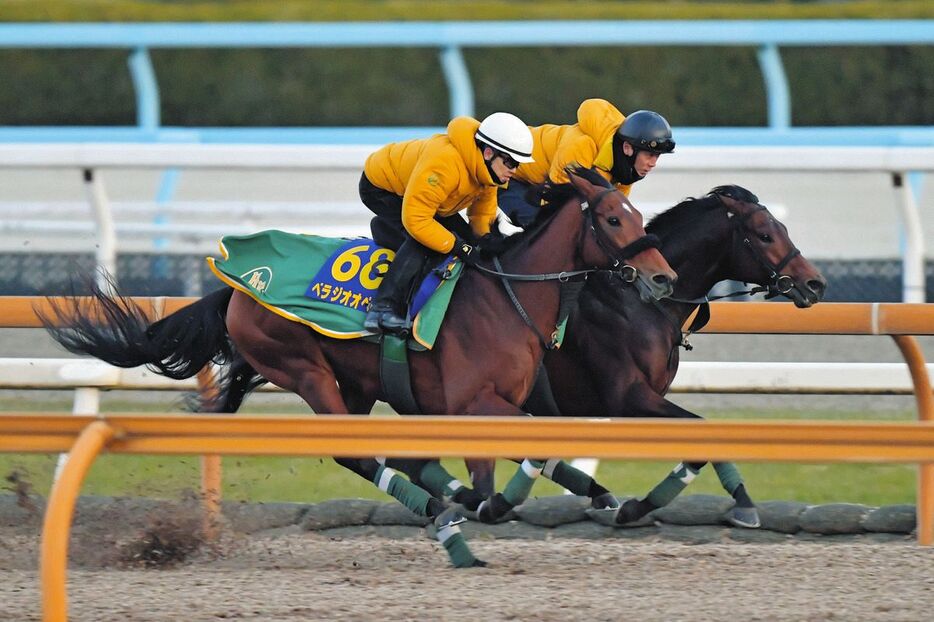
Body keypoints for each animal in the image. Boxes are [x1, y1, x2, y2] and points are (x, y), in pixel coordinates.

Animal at [44, 168, 676, 568]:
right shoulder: (473, 403)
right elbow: (511, 461)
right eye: (613, 219)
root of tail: (237, 285)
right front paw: (488, 503)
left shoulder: (495, 402)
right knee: (356, 454)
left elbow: (525, 453)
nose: (663, 277)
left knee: (389, 454)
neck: (507, 295)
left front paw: (601, 498)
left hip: (358, 385)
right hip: (305, 370)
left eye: (637, 212)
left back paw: (447, 512)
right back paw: (438, 511)